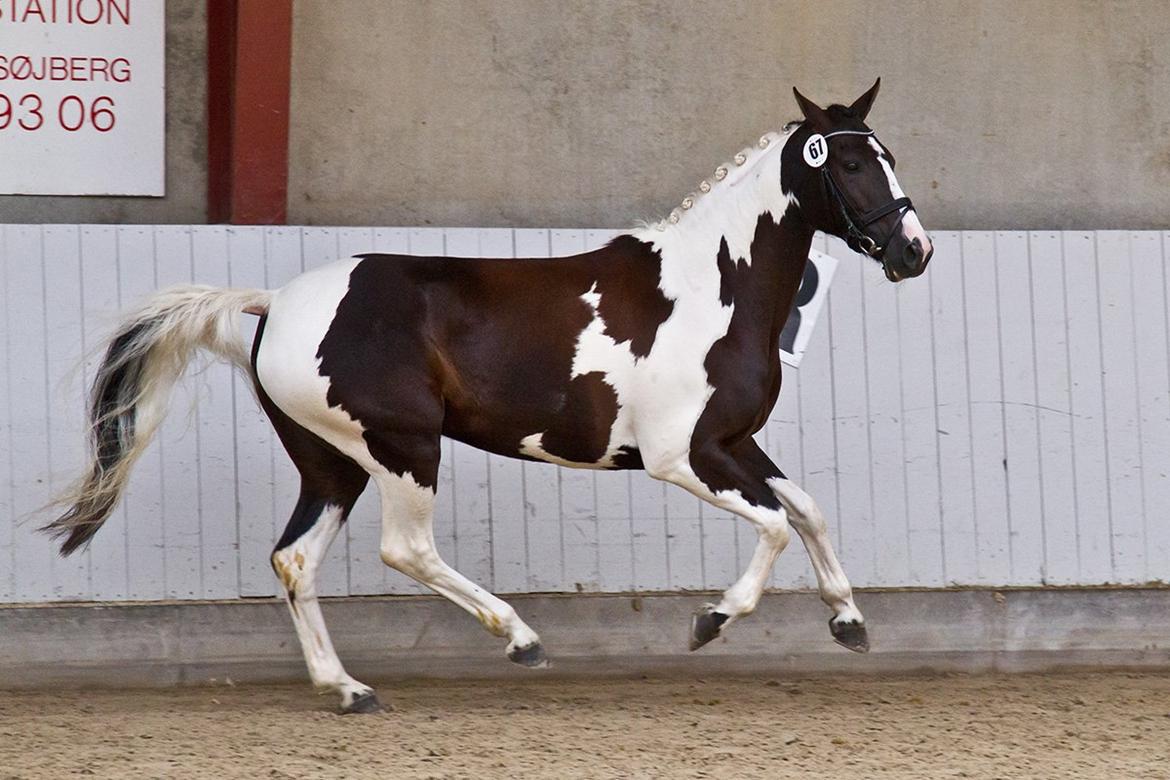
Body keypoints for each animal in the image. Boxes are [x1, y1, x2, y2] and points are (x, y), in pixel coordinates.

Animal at [44, 80, 932, 713]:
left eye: (886, 154)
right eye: (851, 163)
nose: (913, 251)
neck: (713, 289)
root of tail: (274, 305)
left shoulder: (734, 443)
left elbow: (807, 509)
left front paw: (849, 622)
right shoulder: (682, 457)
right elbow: (777, 524)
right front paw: (711, 621)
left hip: (334, 465)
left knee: (295, 558)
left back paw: (348, 689)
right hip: (404, 449)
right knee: (406, 550)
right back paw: (519, 639)